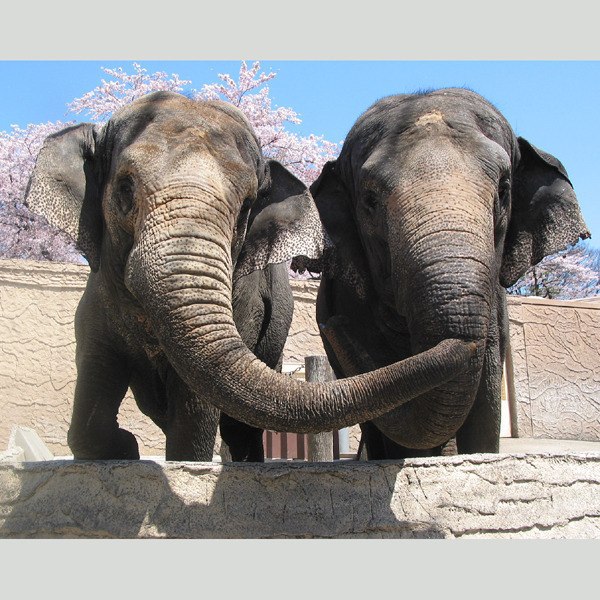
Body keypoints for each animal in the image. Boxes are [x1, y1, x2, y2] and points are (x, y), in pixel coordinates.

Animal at [23, 90, 476, 460]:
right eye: (124, 189)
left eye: (245, 207)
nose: (467, 343)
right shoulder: (97, 302)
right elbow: (92, 388)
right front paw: (123, 447)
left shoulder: (242, 305)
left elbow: (195, 413)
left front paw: (174, 461)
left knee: (240, 426)